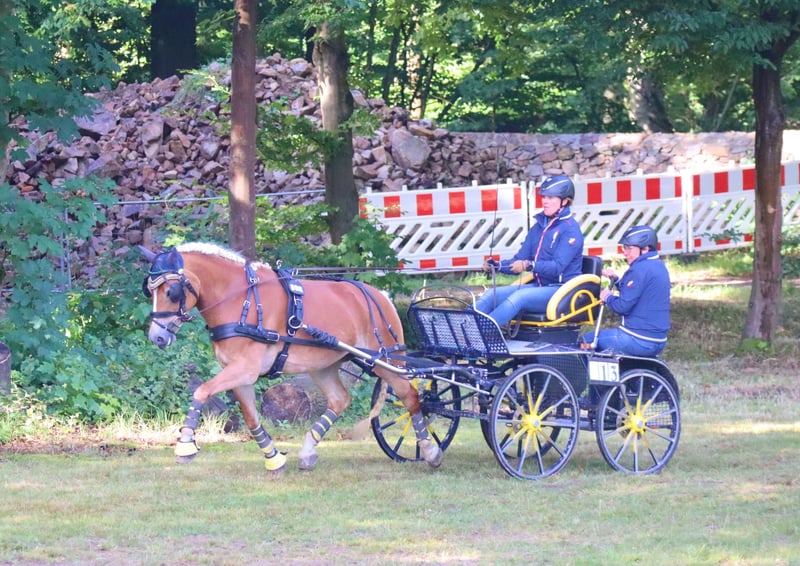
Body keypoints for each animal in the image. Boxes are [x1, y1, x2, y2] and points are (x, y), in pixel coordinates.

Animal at [139, 242, 443, 473]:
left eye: (171, 291)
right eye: (149, 290)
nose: (157, 337)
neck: (241, 301)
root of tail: (380, 295)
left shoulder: (245, 369)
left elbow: (201, 391)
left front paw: (184, 445)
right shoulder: (240, 375)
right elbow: (251, 418)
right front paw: (273, 459)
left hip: (388, 361)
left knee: (410, 396)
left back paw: (430, 451)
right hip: (324, 365)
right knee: (340, 400)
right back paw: (308, 451)